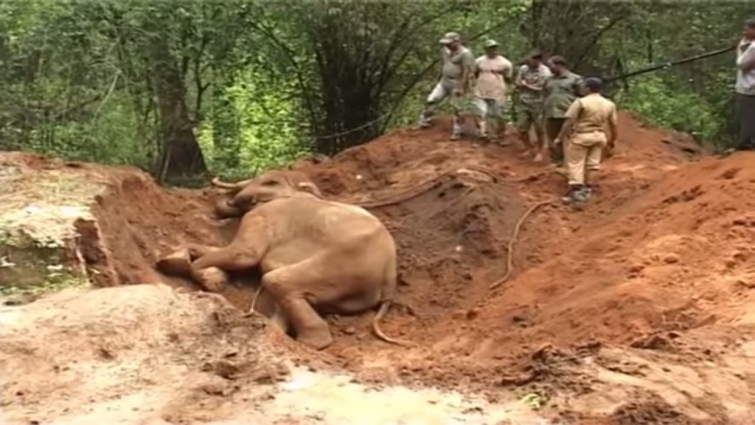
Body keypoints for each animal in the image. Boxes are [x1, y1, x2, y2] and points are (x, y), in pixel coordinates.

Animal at [169, 170, 407, 350]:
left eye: (270, 181)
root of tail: (389, 286)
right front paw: (176, 256)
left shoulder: (262, 215)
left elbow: (244, 254)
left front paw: (208, 279)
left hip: (344, 268)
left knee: (277, 281)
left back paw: (304, 343)